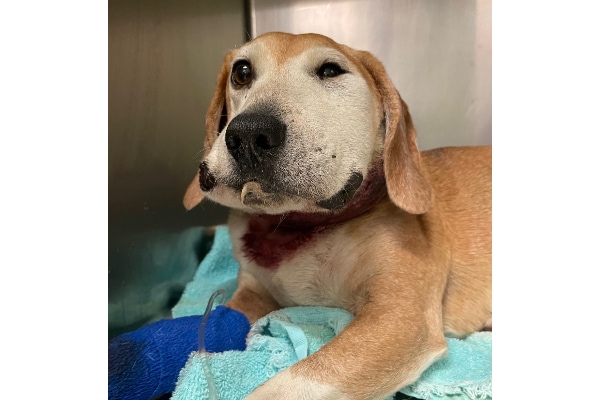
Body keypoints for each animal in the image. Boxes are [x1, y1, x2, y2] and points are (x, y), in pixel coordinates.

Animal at [183, 32, 492, 400]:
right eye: (242, 72)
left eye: (330, 70)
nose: (247, 134)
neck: (298, 224)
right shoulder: (252, 293)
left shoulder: (398, 318)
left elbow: (288, 385)